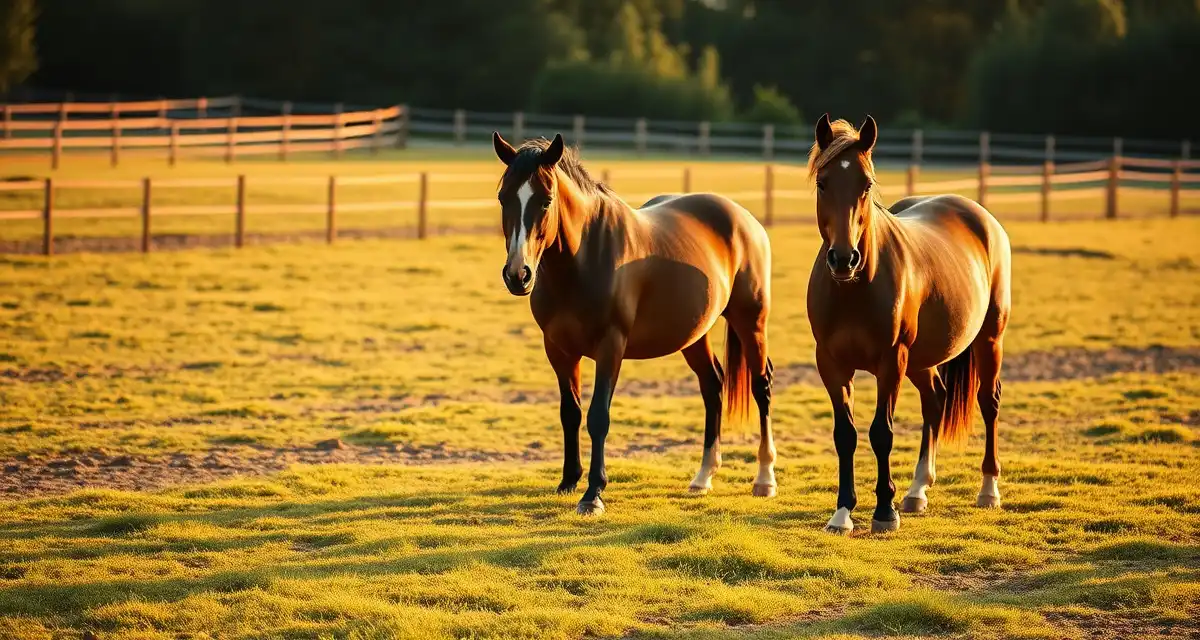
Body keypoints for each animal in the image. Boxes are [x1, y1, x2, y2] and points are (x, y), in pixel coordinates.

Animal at [491, 131, 777, 515]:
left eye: (546, 200)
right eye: (503, 197)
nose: (518, 275)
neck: (585, 258)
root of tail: (745, 219)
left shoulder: (610, 346)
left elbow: (598, 416)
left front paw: (593, 493)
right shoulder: (559, 349)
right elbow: (570, 412)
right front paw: (568, 481)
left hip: (751, 321)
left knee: (761, 386)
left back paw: (764, 478)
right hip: (694, 335)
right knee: (712, 384)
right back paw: (703, 477)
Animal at [805, 114, 1012, 534]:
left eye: (866, 184)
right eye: (823, 183)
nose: (844, 258)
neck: (856, 287)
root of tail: (979, 215)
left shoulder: (891, 361)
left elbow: (881, 433)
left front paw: (884, 512)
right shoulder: (831, 364)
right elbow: (845, 435)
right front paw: (842, 513)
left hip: (989, 340)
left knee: (989, 402)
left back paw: (988, 490)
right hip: (921, 360)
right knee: (935, 400)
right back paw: (918, 490)